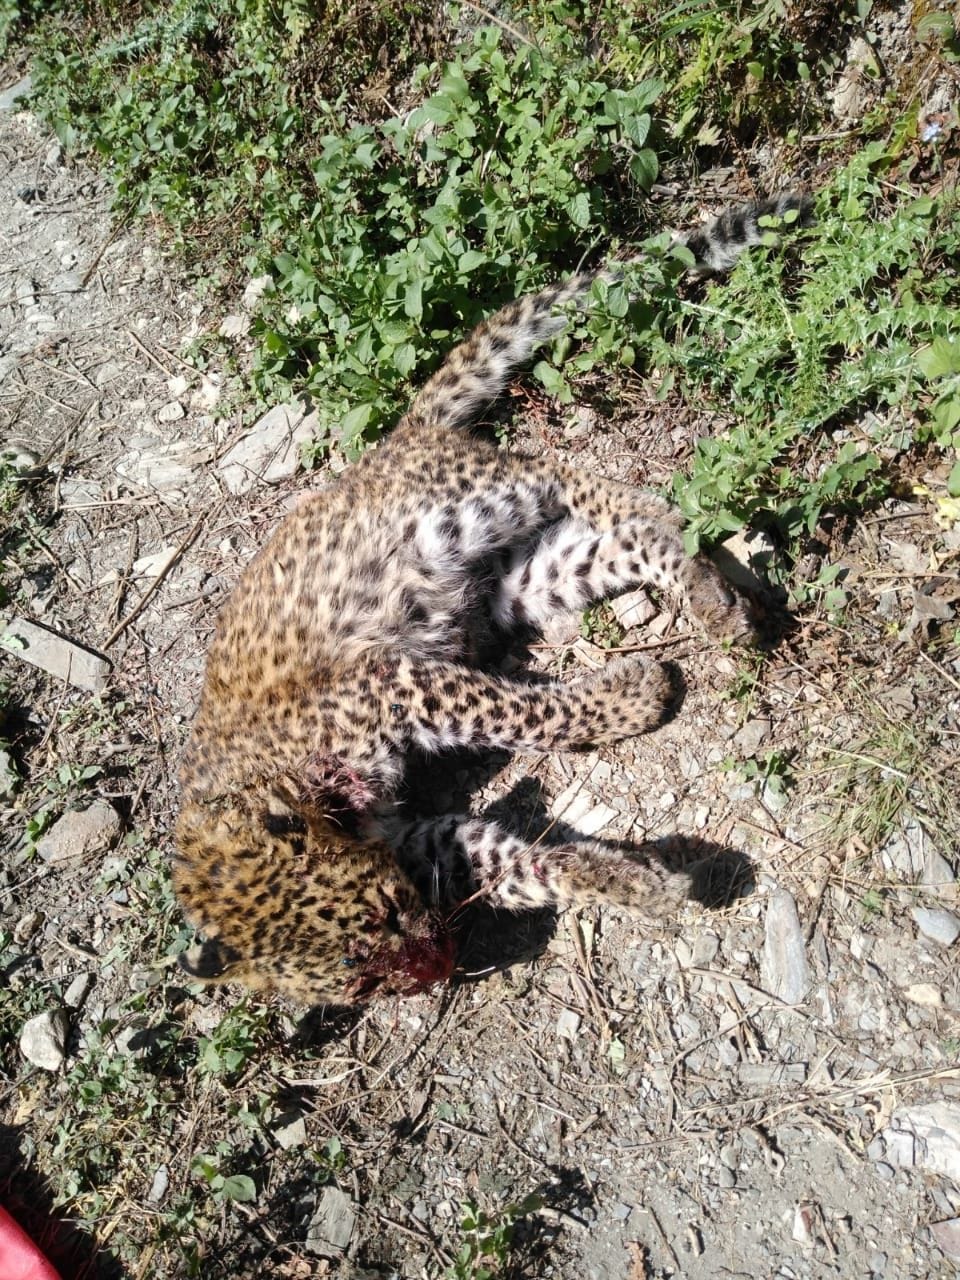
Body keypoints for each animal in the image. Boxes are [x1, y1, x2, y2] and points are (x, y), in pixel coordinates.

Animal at [174, 192, 808, 1006]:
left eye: (382, 918)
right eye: (363, 988)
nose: (442, 968)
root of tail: (397, 438)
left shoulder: (392, 682)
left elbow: (528, 714)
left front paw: (634, 697)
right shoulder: (420, 839)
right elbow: (523, 860)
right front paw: (633, 884)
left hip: (464, 508)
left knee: (583, 480)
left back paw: (708, 604)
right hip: (519, 578)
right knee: (626, 533)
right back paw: (706, 596)